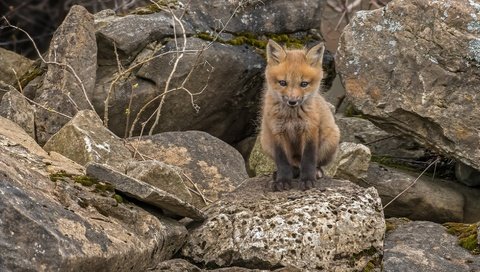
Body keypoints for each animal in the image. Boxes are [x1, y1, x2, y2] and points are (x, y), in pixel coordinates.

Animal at [260, 39, 340, 191]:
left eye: (304, 84)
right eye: (283, 82)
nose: (292, 101)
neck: (292, 117)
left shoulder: (310, 129)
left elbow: (308, 159)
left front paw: (308, 179)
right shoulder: (277, 132)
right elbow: (283, 162)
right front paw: (283, 181)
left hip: (331, 140)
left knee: (314, 163)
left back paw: (316, 172)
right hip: (265, 142)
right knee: (293, 165)